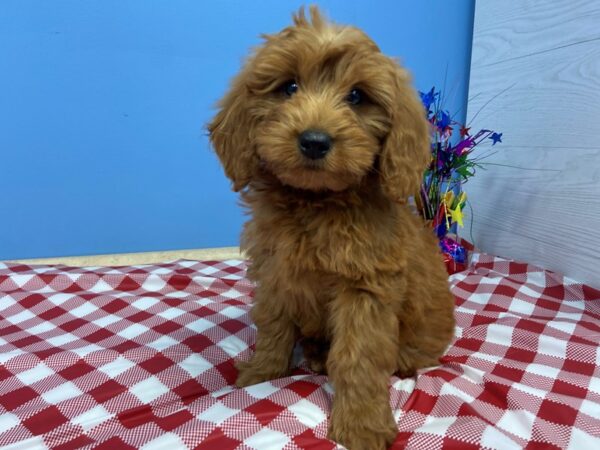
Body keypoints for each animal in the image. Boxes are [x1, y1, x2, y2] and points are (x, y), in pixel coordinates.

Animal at [209, 7, 452, 450]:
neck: (316, 201)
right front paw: (262, 373)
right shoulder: (276, 272)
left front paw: (361, 423)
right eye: (289, 87)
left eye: (356, 96)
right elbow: (273, 325)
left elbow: (358, 356)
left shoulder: (366, 287)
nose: (314, 141)